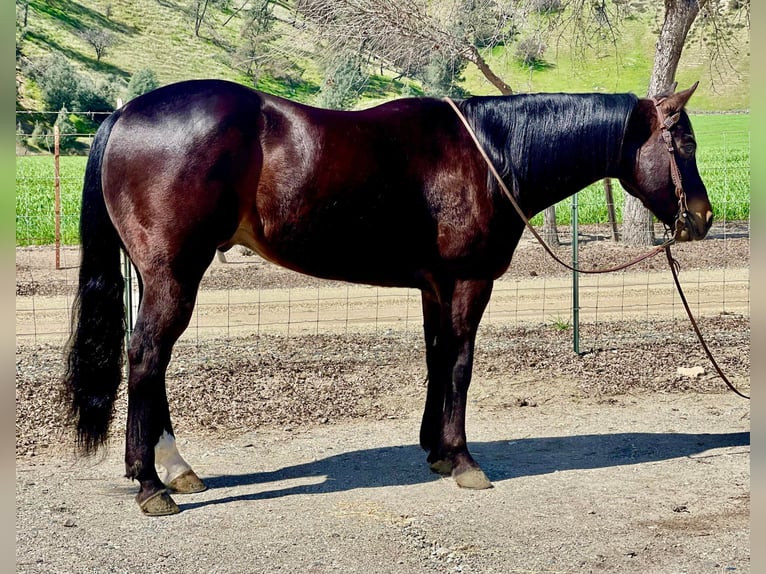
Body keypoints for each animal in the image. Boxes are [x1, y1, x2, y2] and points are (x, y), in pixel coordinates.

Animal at [64, 80, 712, 516]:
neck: (488, 153)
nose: (702, 218)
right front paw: (464, 461)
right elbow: (459, 365)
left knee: (151, 360)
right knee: (147, 356)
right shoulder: (469, 281)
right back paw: (151, 484)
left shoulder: (435, 286)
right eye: (683, 142)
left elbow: (437, 360)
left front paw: (438, 452)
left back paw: (177, 470)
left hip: (161, 276)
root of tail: (124, 113)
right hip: (175, 273)